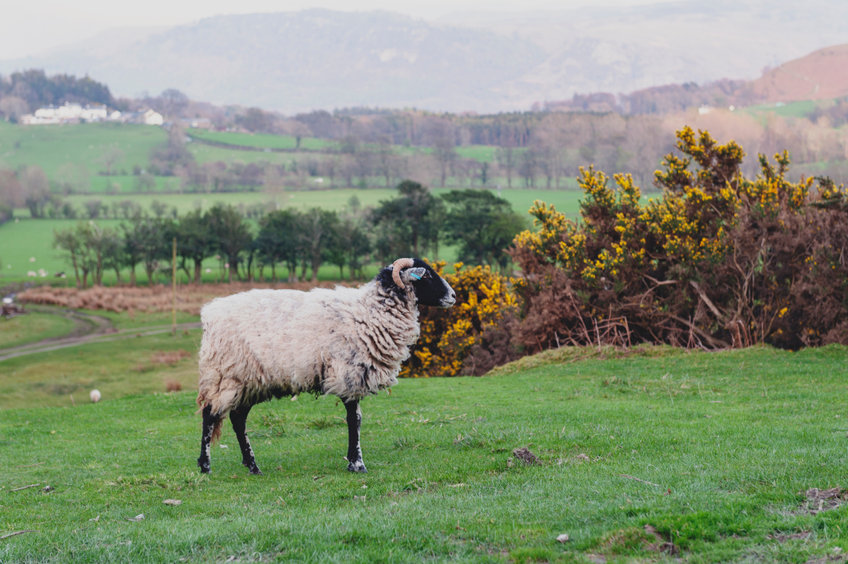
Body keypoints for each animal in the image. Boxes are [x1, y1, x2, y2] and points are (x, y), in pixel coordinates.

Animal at [195, 258, 458, 474]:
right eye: (426, 275)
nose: (454, 296)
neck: (371, 312)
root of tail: (209, 314)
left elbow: (355, 419)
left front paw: (353, 461)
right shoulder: (349, 373)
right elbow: (355, 420)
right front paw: (357, 463)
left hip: (251, 381)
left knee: (238, 419)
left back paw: (252, 466)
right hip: (225, 375)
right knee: (210, 414)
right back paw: (205, 466)